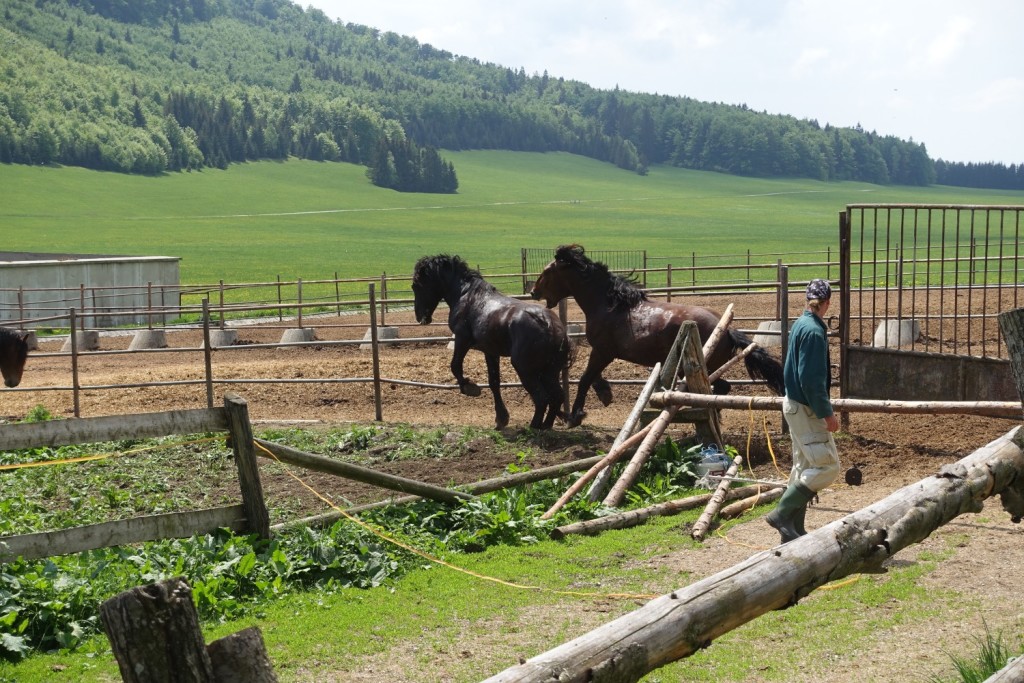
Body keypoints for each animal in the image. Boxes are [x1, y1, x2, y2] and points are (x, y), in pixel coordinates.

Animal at [409, 253, 573, 430]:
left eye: (416, 285)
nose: (420, 316)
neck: (466, 295)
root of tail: (549, 325)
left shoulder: (462, 339)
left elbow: (455, 366)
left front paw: (469, 387)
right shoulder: (490, 351)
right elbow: (494, 382)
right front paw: (501, 418)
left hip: (525, 369)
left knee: (542, 398)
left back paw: (533, 427)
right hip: (549, 371)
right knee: (557, 396)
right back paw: (546, 425)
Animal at [528, 244, 782, 428]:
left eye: (548, 271)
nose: (533, 292)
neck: (609, 305)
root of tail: (726, 329)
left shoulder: (603, 351)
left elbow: (584, 379)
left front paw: (575, 416)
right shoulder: (602, 352)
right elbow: (592, 377)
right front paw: (605, 394)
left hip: (703, 367)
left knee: (721, 388)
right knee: (720, 389)